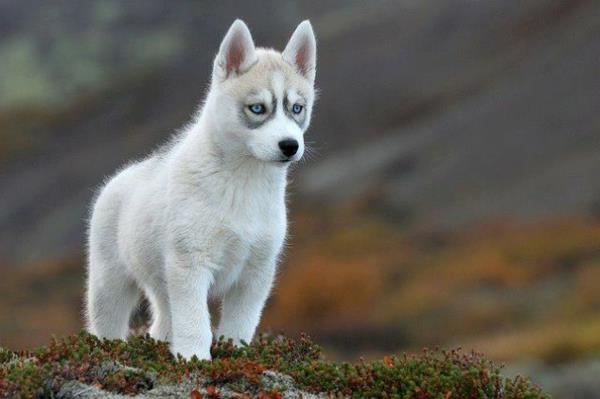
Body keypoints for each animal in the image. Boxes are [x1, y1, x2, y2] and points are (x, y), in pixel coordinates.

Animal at [87, 20, 318, 360]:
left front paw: (235, 354)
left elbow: (240, 323)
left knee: (163, 321)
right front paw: (194, 358)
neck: (243, 182)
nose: (290, 146)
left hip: (163, 282)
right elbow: (194, 321)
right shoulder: (190, 263)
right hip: (111, 281)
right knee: (108, 322)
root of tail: (120, 177)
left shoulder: (257, 271)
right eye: (257, 108)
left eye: (297, 108)